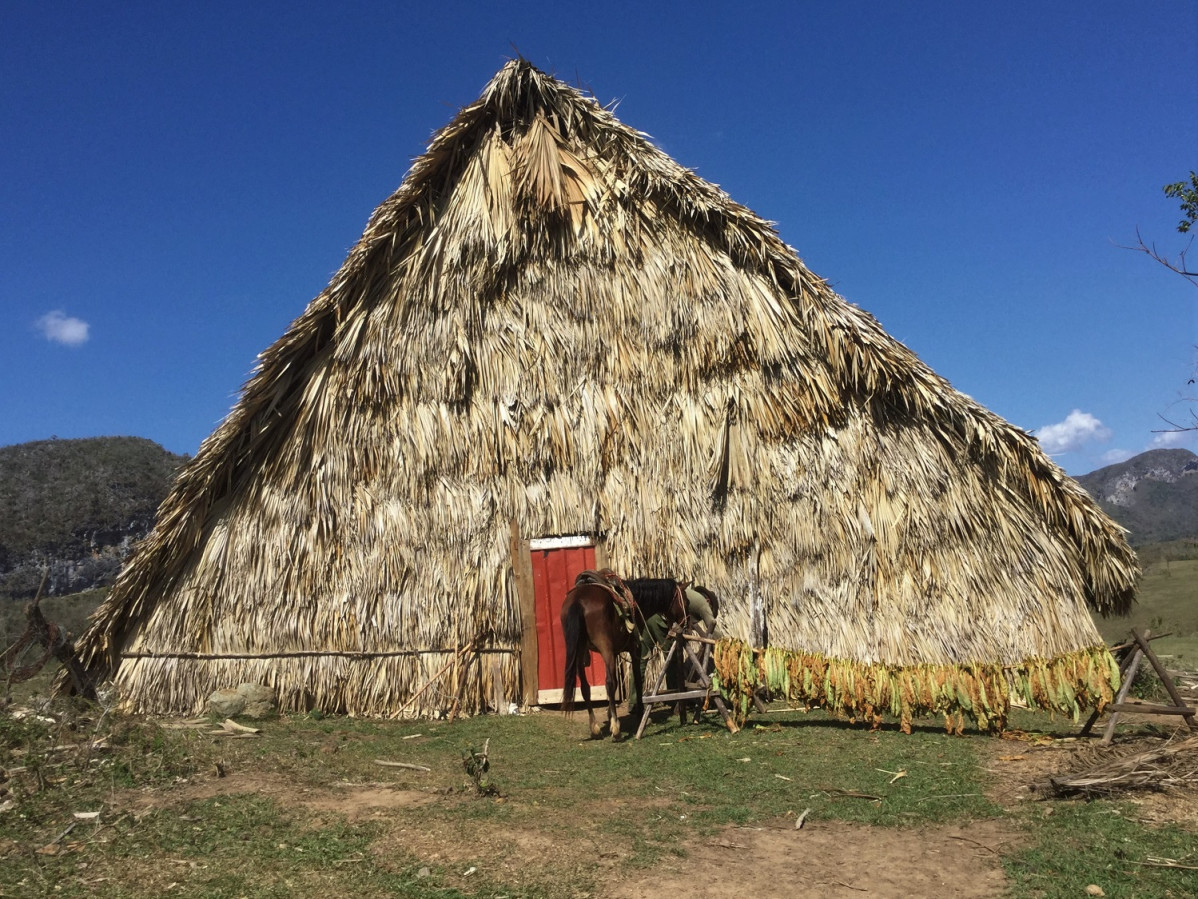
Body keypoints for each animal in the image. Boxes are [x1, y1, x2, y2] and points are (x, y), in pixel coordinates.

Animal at [558, 572, 685, 743]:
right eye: (685, 600)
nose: (685, 621)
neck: (636, 602)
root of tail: (578, 600)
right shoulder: (635, 649)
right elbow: (636, 680)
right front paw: (640, 716)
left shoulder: (616, 651)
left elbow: (618, 683)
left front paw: (611, 715)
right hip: (604, 648)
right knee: (608, 683)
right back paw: (616, 731)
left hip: (579, 650)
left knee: (585, 687)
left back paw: (595, 729)